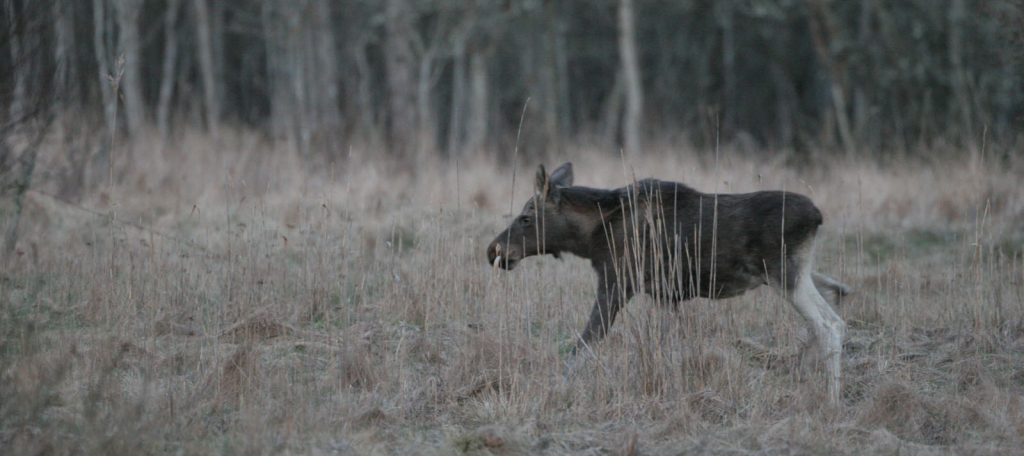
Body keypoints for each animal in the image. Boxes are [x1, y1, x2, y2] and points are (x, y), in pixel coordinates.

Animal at [487, 162, 847, 401]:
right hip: (795, 273)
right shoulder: (665, 295)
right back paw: (803, 374)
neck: (591, 236)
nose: (494, 250)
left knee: (829, 323)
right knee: (839, 294)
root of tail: (818, 217)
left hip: (784, 274)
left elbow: (584, 344)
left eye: (526, 217)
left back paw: (831, 398)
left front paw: (557, 389)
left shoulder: (617, 282)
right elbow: (668, 348)